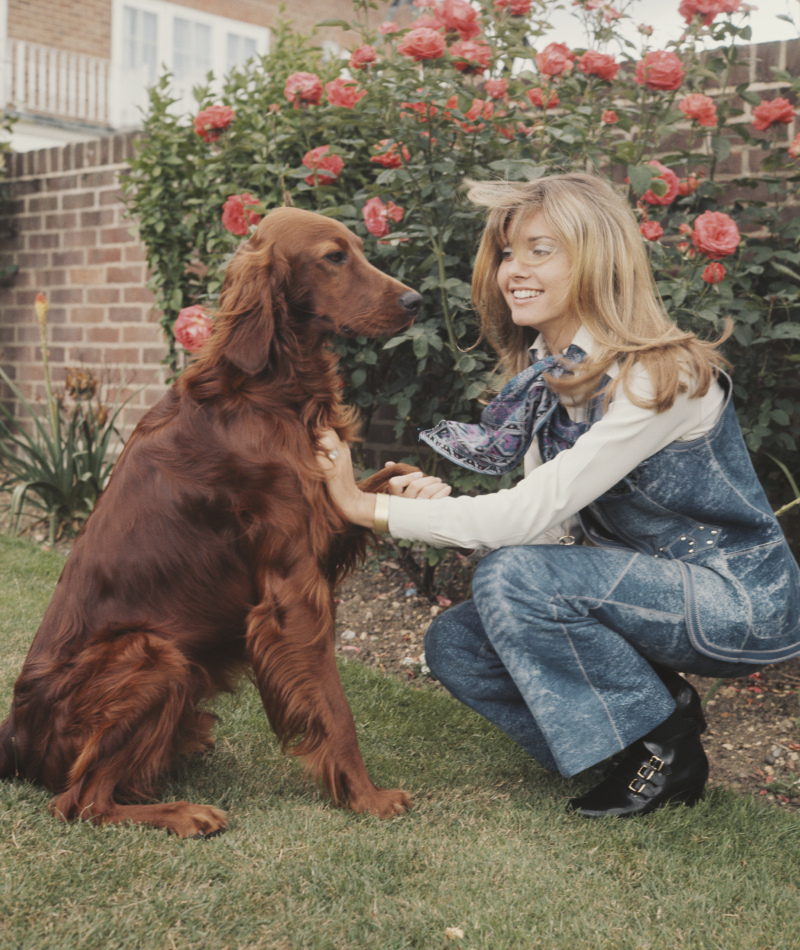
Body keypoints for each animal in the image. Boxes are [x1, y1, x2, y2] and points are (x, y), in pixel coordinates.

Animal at [0, 210, 422, 840]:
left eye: (358, 248)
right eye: (334, 257)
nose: (416, 300)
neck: (269, 387)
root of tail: (15, 740)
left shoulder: (321, 524)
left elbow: (386, 478)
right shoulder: (292, 590)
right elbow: (335, 708)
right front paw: (366, 796)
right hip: (157, 654)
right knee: (80, 801)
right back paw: (184, 812)